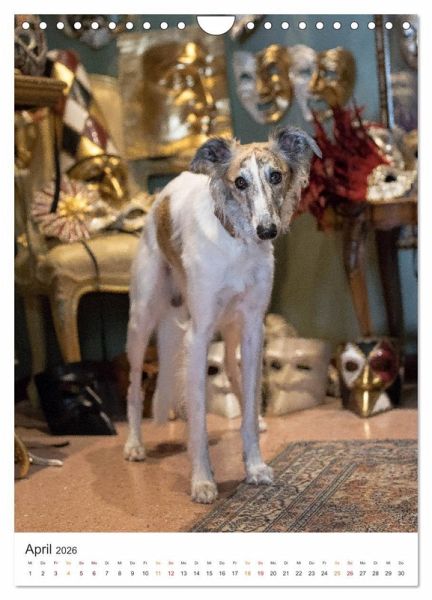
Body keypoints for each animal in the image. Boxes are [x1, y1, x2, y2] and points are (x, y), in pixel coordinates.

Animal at [124, 126, 321, 503]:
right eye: (240, 182)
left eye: (276, 176)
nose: (267, 231)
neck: (237, 244)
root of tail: (160, 197)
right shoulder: (198, 333)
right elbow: (199, 420)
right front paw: (202, 481)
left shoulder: (254, 326)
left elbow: (246, 407)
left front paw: (255, 466)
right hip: (142, 320)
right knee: (134, 386)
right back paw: (134, 444)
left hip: (230, 327)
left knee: (230, 368)